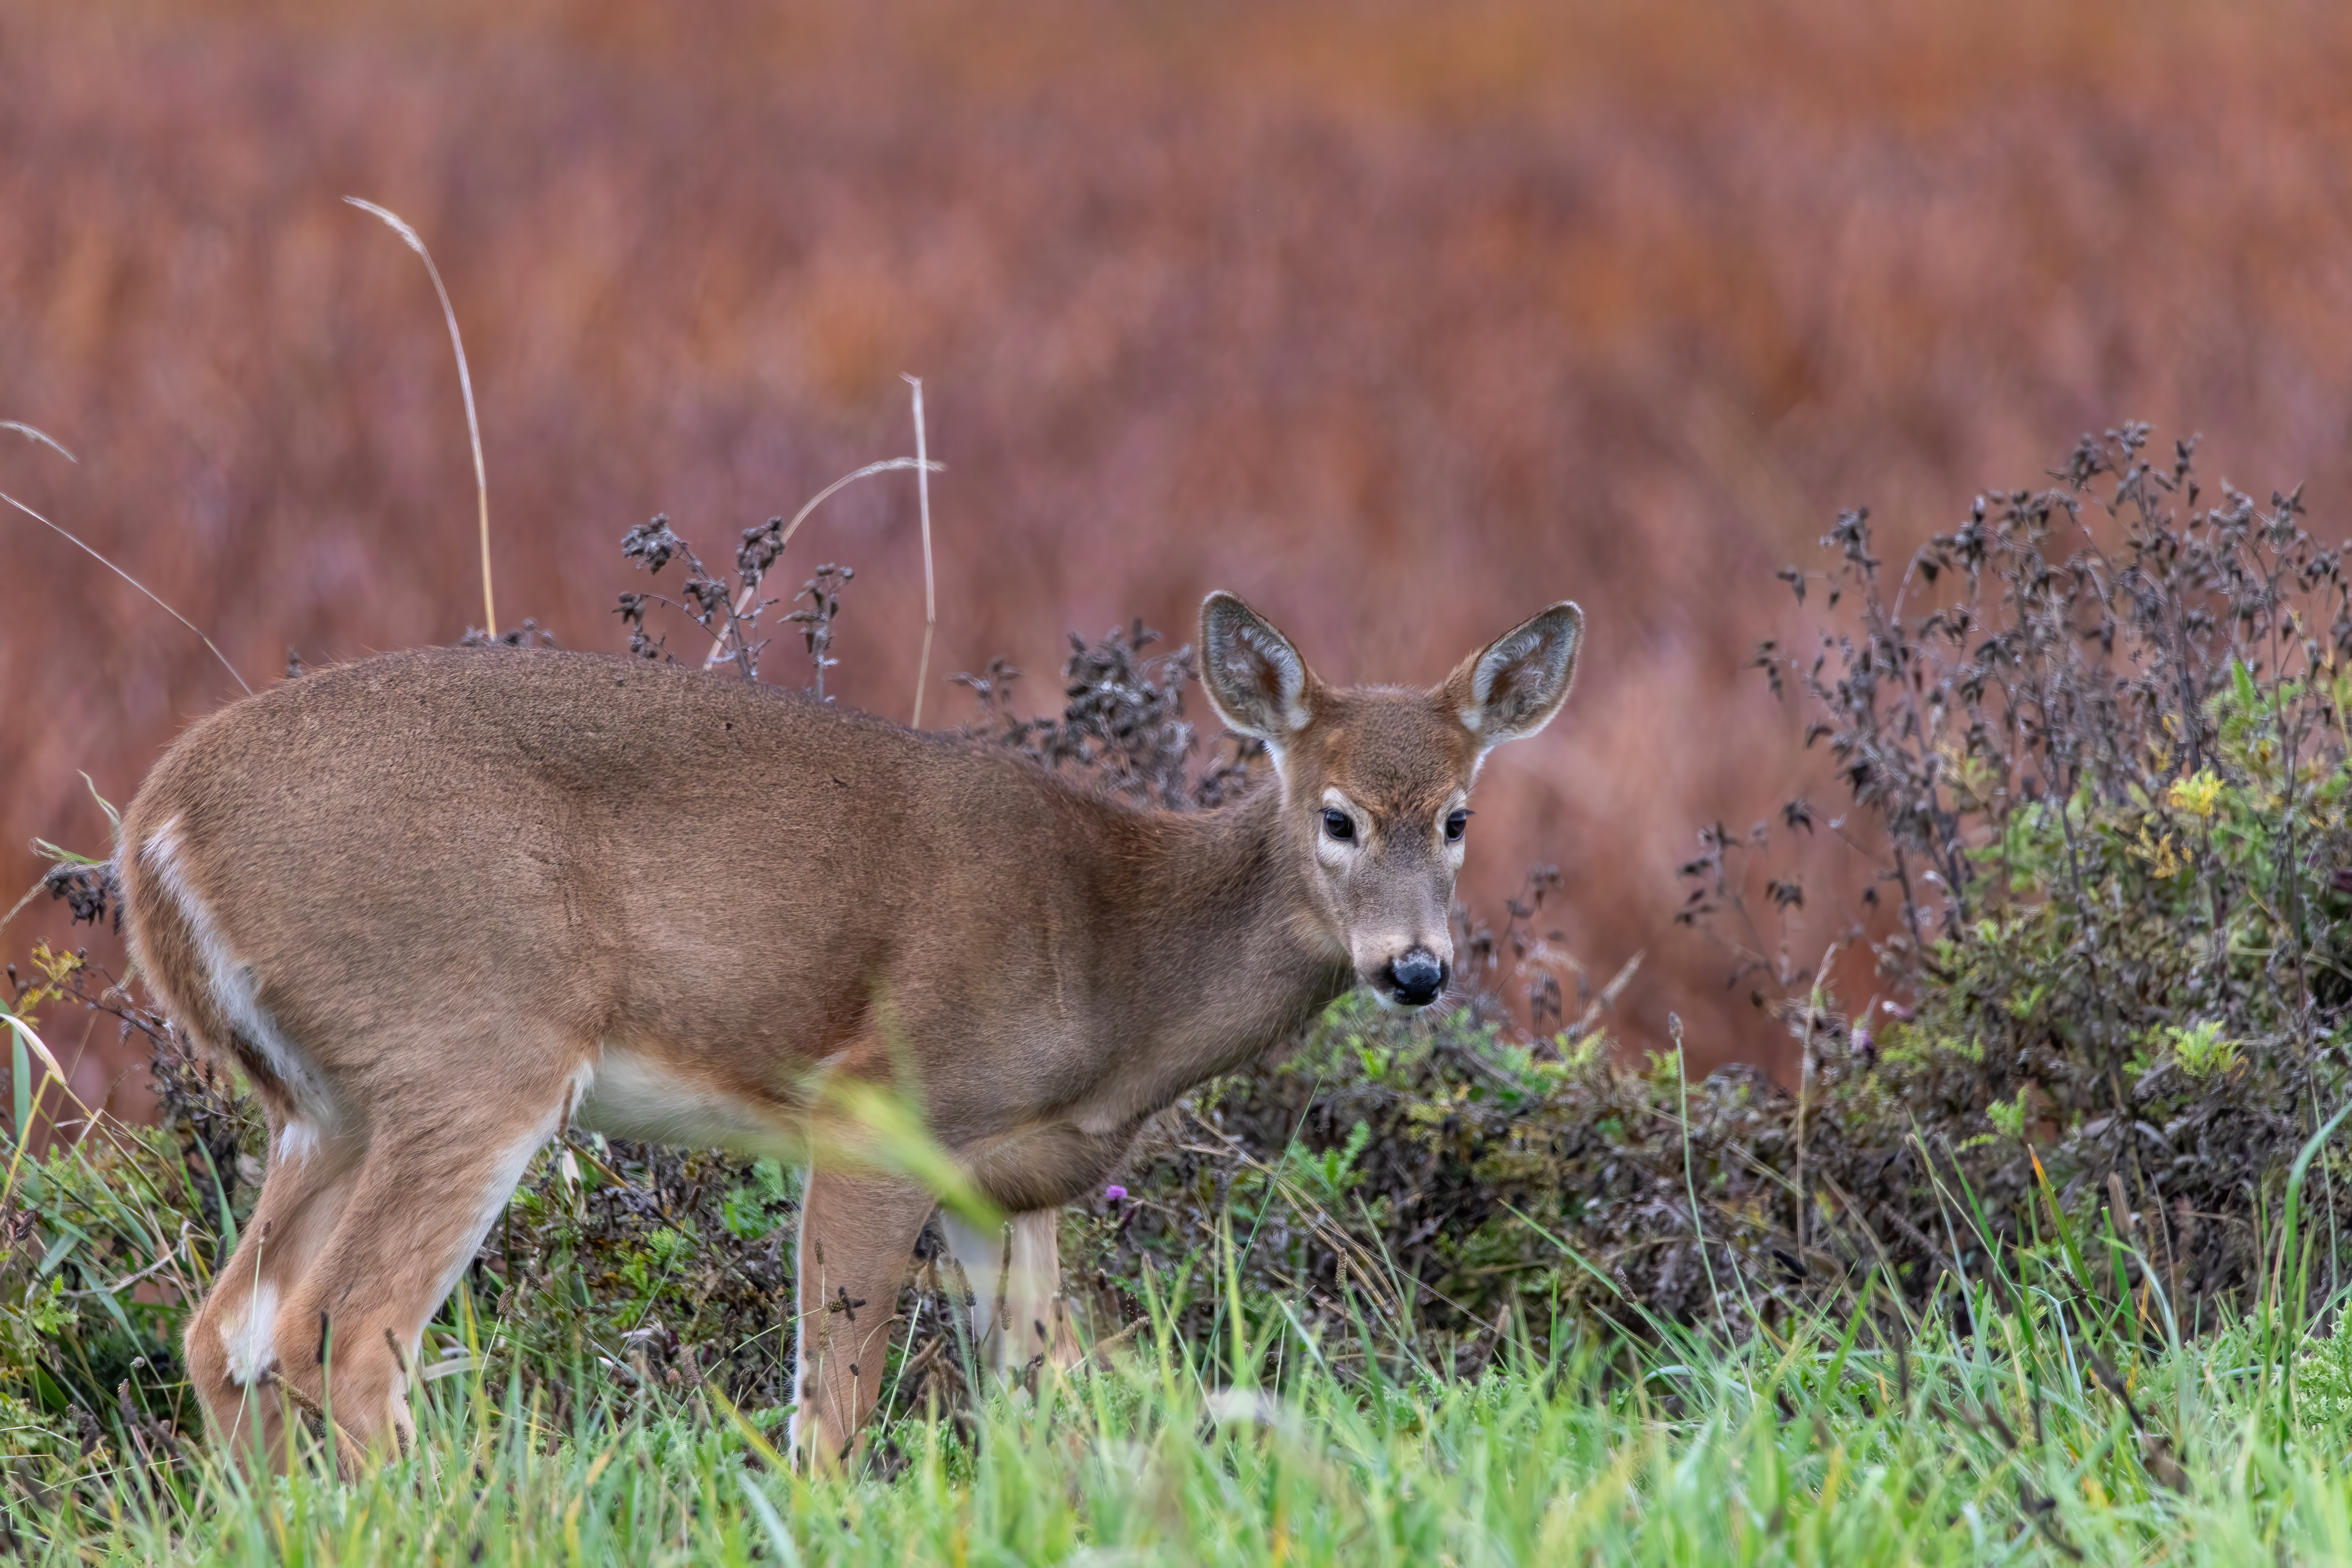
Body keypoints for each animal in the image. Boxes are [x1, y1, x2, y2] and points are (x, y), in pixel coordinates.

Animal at [114, 589, 1582, 1471]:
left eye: (1459, 815)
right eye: (1337, 816)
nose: (1416, 969)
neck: (1119, 955)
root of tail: (157, 823)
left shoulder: (1012, 1184)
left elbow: (1040, 1398)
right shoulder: (882, 1109)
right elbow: (831, 1404)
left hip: (325, 1100)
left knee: (229, 1330)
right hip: (471, 1041)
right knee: (347, 1329)